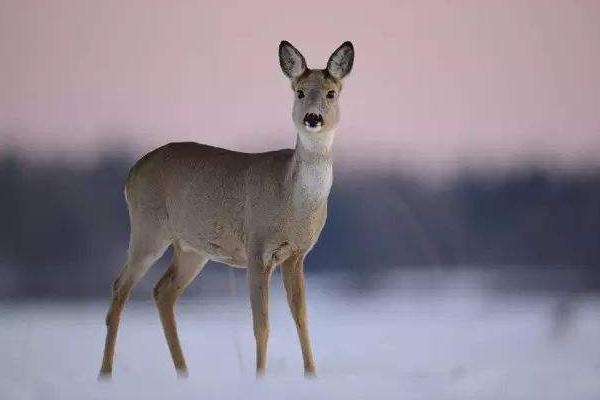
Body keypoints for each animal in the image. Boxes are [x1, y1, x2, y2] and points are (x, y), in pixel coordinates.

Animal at [98, 39, 352, 378]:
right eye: (299, 92)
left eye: (331, 92)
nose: (313, 118)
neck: (292, 197)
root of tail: (131, 174)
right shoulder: (257, 249)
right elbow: (261, 325)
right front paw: (260, 377)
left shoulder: (297, 254)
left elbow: (302, 319)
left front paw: (311, 376)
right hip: (147, 229)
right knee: (120, 286)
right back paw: (105, 373)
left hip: (191, 248)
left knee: (162, 291)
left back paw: (184, 373)